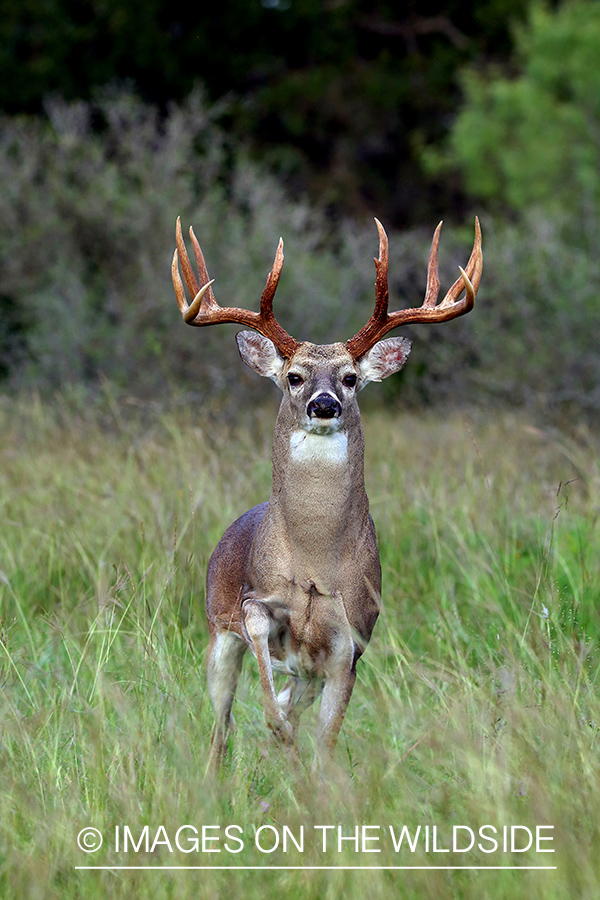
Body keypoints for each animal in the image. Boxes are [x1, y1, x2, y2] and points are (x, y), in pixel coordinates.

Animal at [171, 214, 480, 768]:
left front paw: (309, 777)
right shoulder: (252, 607)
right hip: (215, 629)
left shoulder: (350, 645)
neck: (315, 563)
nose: (323, 404)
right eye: (293, 376)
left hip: (307, 671)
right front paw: (282, 748)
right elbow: (268, 698)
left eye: (351, 377)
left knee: (284, 705)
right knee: (222, 724)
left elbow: (325, 740)